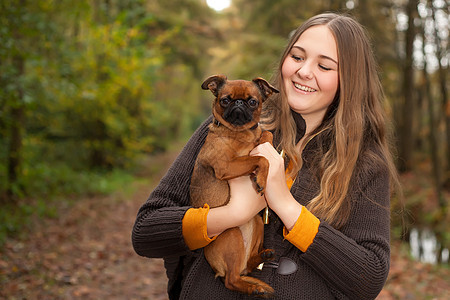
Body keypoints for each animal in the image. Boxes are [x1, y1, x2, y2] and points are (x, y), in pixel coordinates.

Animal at [189, 75, 278, 298]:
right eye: (225, 100)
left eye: (253, 101)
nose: (238, 103)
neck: (240, 133)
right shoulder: (226, 166)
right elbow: (262, 158)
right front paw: (261, 179)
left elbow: (266, 136)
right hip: (231, 233)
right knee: (231, 280)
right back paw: (253, 288)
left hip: (257, 223)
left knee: (247, 266)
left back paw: (263, 259)